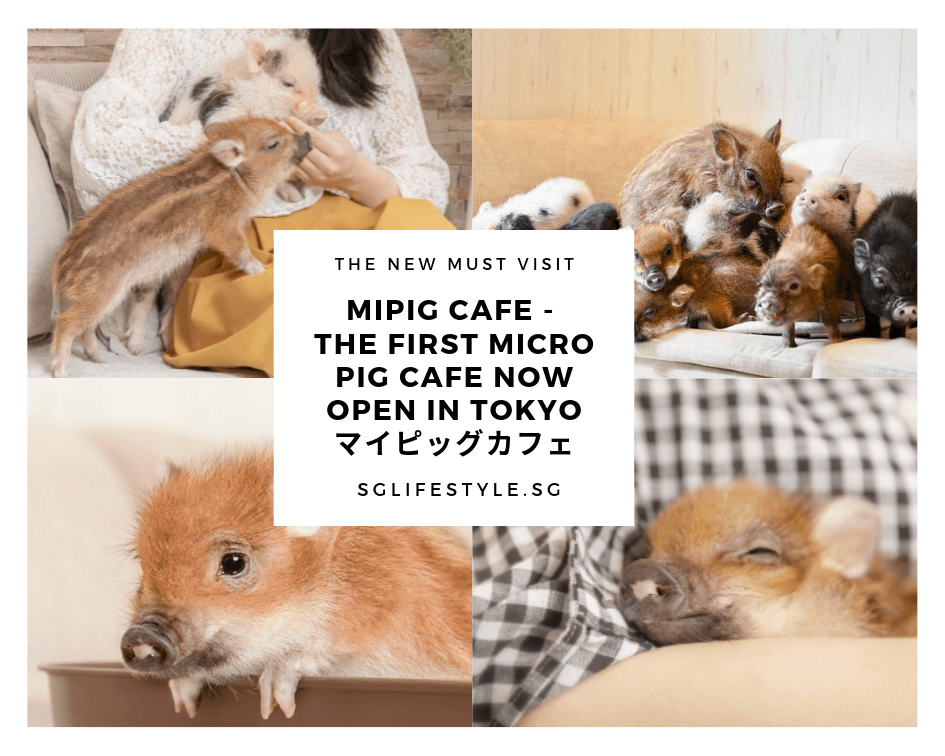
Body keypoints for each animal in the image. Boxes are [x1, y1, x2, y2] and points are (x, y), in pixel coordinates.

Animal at [50, 118, 312, 377]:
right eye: (273, 144)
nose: (308, 136)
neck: (234, 180)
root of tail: (60, 271)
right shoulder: (224, 227)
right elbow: (239, 249)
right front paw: (259, 269)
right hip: (101, 293)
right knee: (67, 322)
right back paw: (60, 371)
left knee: (87, 327)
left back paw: (98, 359)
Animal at [120, 450, 472, 719]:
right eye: (142, 562)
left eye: (234, 562)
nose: (141, 632)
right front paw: (184, 702)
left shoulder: (384, 604)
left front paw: (275, 702)